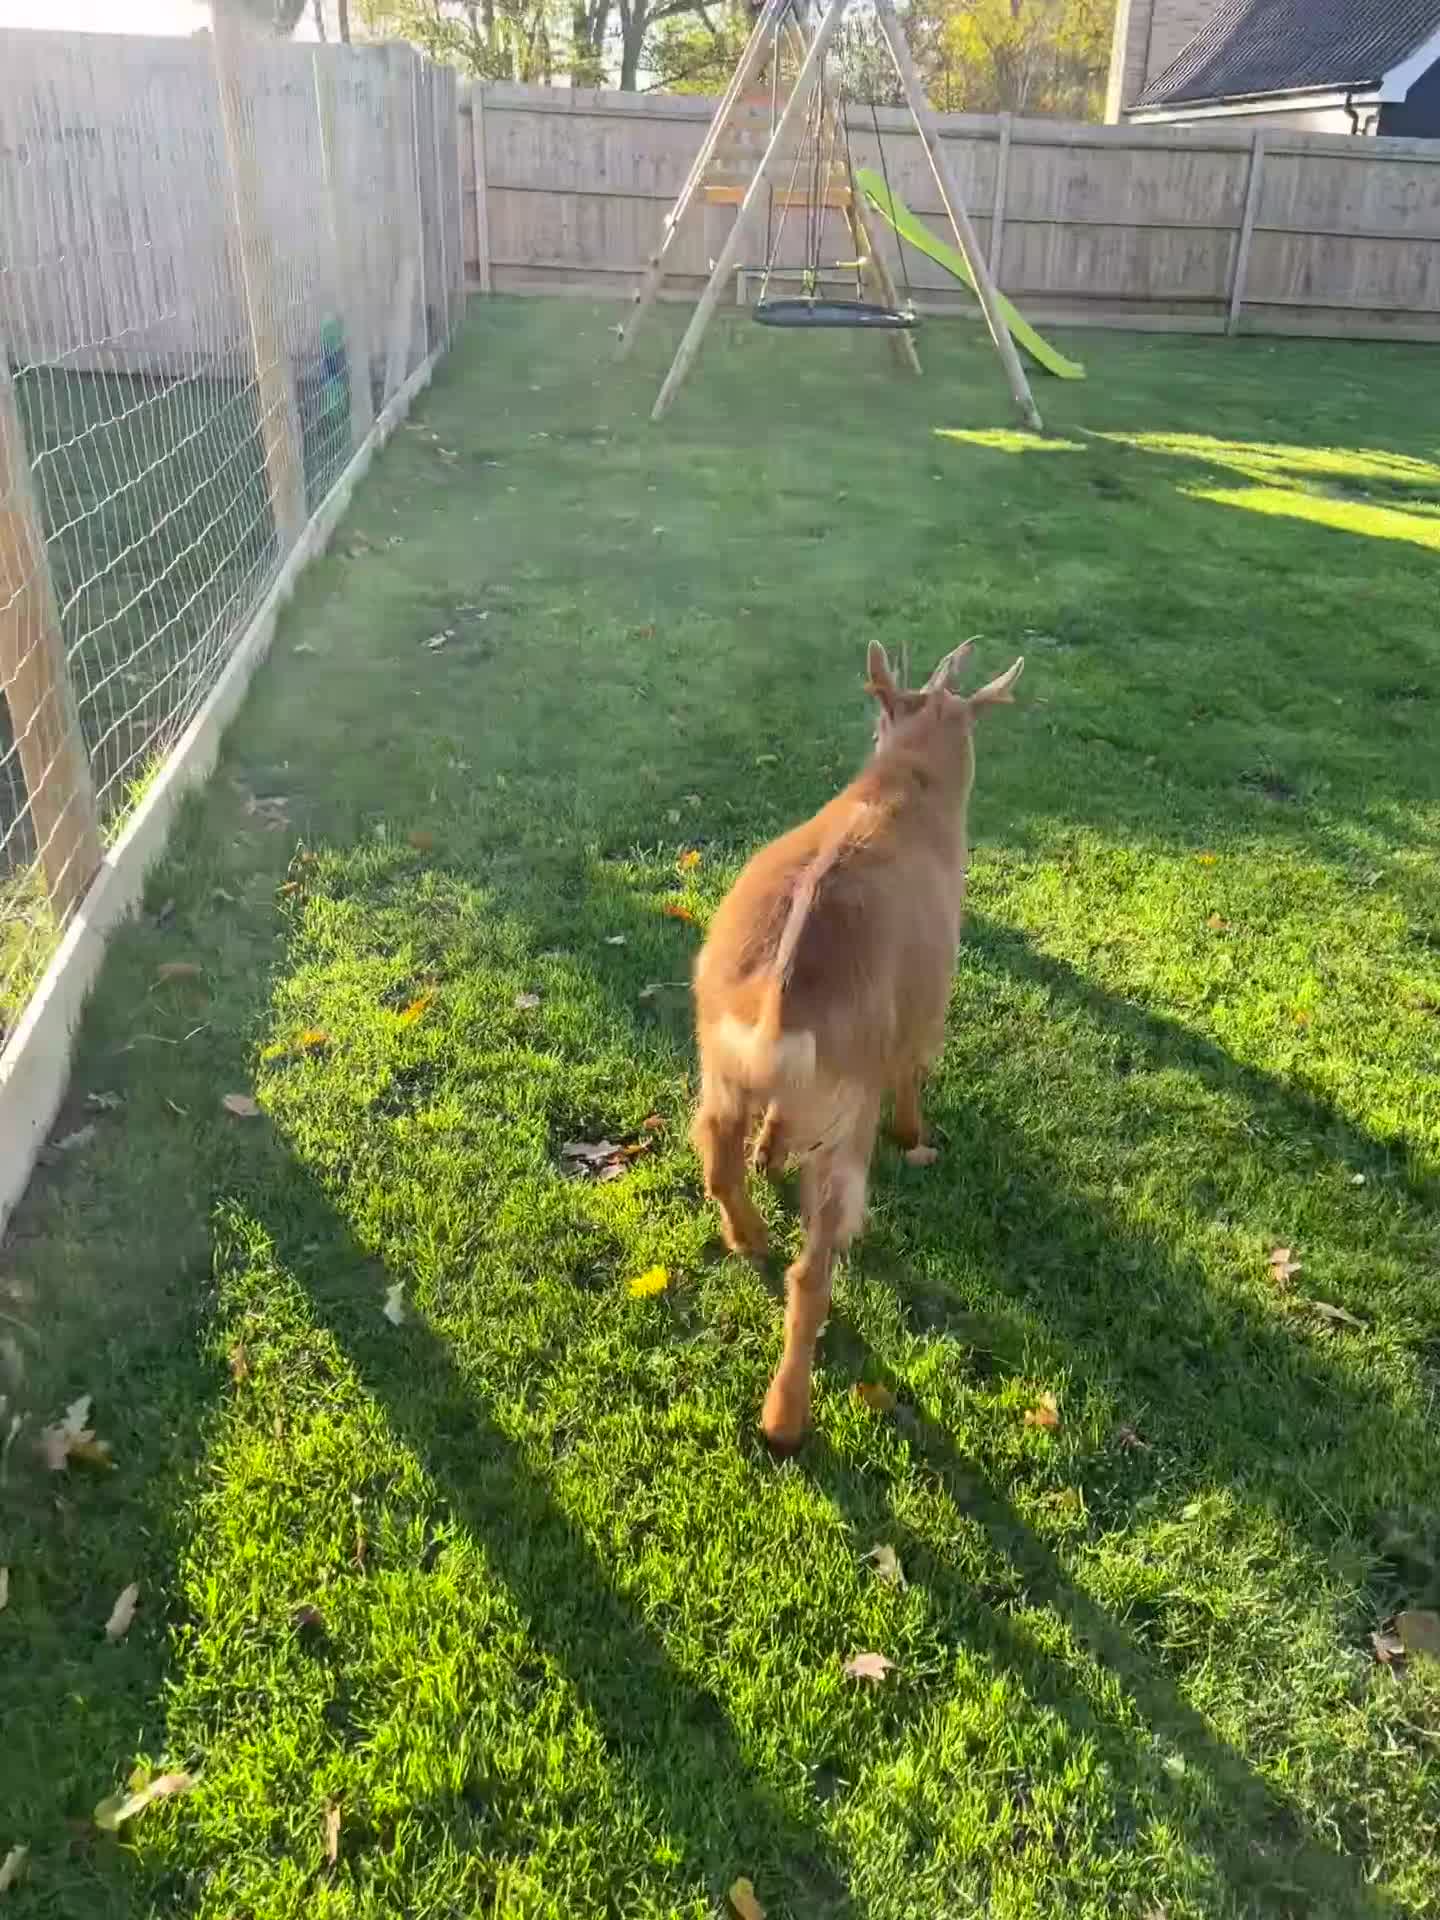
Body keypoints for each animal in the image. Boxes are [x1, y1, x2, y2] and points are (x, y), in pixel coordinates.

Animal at [690, 639, 1024, 1450]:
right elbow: (915, 1077)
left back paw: (750, 1236)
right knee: (811, 1273)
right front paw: (919, 1139)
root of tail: (777, 1011)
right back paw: (786, 1419)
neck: (902, 791)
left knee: (714, 1151)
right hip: (845, 1119)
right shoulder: (926, 1009)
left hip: (721, 1067)